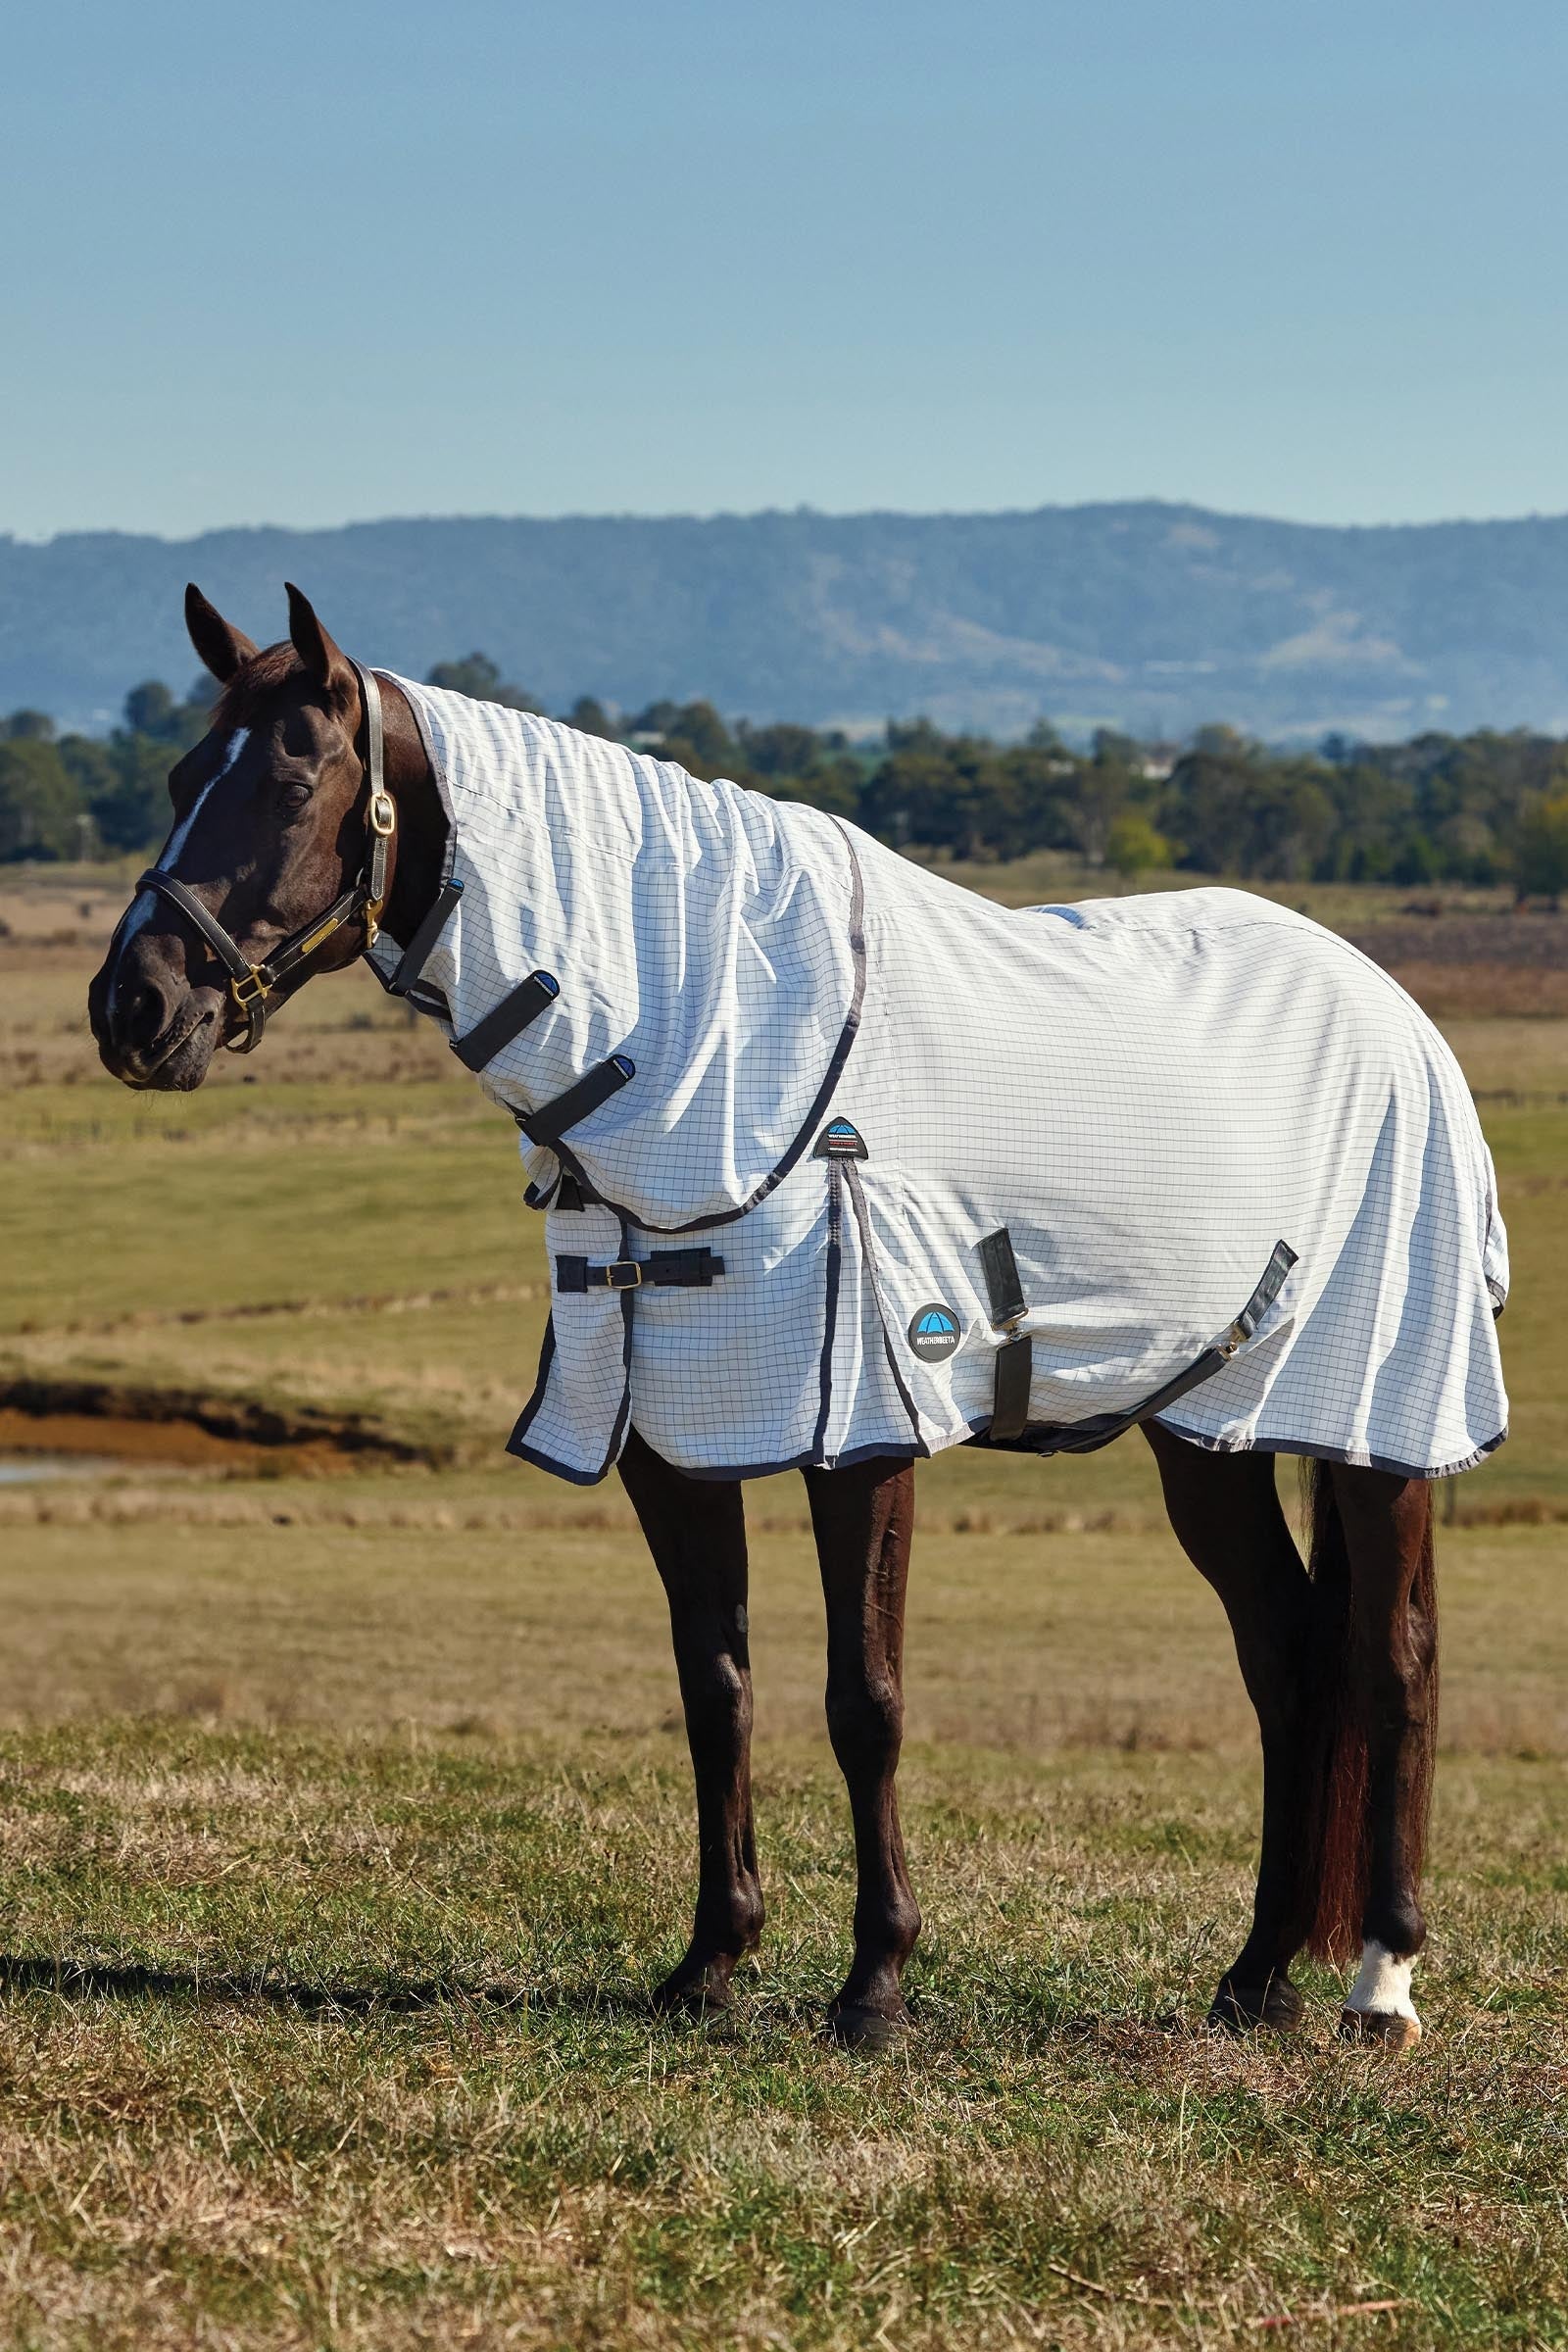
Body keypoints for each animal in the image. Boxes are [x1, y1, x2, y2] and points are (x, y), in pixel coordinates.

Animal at [87, 581, 1492, 2054]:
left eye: (294, 779)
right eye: (181, 776)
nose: (135, 1008)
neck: (703, 1041)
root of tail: (1394, 1014)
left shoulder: (860, 1428)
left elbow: (861, 1701)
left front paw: (875, 1984)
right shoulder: (665, 1431)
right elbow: (717, 1687)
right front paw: (710, 1963)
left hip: (1376, 1423)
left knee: (1393, 1662)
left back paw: (1379, 1983)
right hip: (1203, 1430)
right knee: (1287, 1656)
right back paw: (1254, 1976)